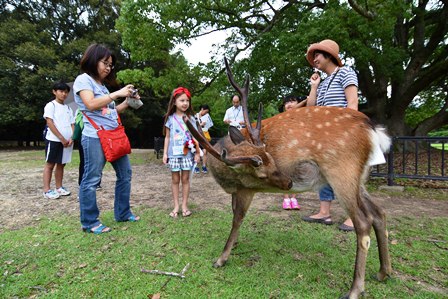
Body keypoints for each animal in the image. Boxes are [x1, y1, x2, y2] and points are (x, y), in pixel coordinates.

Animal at [184, 59, 390, 299]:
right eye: (267, 163)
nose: (289, 183)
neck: (225, 176)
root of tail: (373, 131)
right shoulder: (237, 190)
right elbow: (234, 213)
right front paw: (234, 246)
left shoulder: (246, 189)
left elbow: (237, 218)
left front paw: (221, 258)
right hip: (359, 177)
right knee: (379, 212)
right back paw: (383, 272)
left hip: (341, 171)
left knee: (363, 222)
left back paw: (355, 289)